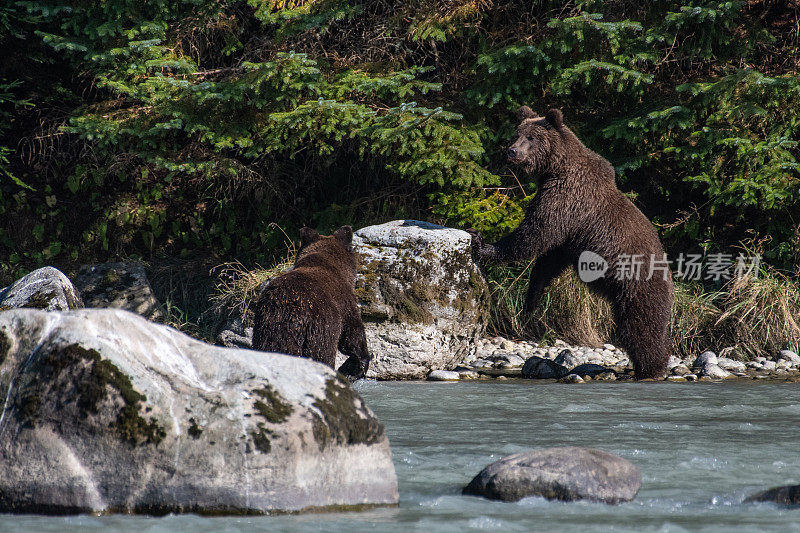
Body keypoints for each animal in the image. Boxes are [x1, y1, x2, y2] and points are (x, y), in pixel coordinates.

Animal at [253, 227, 372, 380]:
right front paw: (358, 364)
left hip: (267, 328)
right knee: (322, 355)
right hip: (319, 330)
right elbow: (352, 335)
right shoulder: (344, 301)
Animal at [472, 107, 672, 378]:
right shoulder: (568, 234)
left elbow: (534, 235)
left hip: (637, 286)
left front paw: (483, 244)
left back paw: (651, 368)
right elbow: (548, 260)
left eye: (531, 137)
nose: (511, 151)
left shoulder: (565, 199)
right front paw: (530, 301)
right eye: (517, 134)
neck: (556, 168)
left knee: (641, 327)